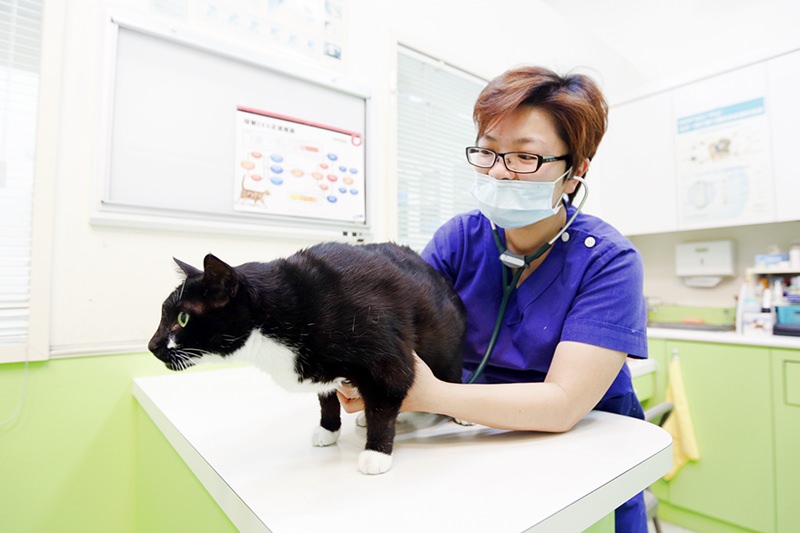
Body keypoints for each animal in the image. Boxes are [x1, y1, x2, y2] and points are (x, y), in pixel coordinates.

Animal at [147, 242, 466, 474]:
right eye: (163, 315)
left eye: (182, 319)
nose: (152, 345)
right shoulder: (320, 370)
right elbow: (327, 398)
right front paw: (329, 429)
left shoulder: (386, 359)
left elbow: (385, 403)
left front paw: (375, 453)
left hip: (446, 345)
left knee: (452, 373)